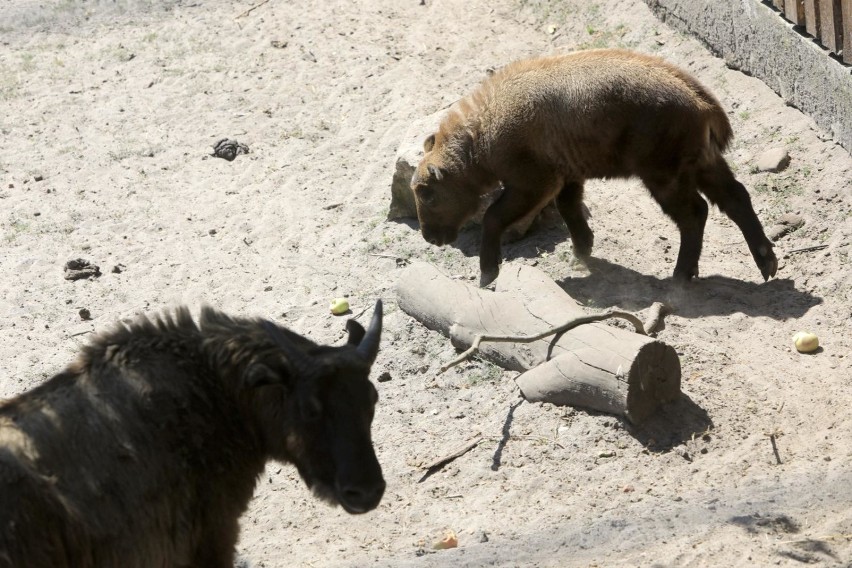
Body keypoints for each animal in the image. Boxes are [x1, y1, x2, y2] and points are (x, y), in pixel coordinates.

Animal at [412, 48, 780, 286]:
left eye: (426, 193)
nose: (430, 237)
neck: (481, 132)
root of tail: (704, 103)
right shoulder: (568, 177)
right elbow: (569, 208)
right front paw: (583, 249)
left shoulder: (533, 183)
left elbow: (493, 217)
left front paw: (488, 272)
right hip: (703, 165)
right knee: (735, 199)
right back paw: (766, 263)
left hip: (664, 177)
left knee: (695, 213)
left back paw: (681, 275)